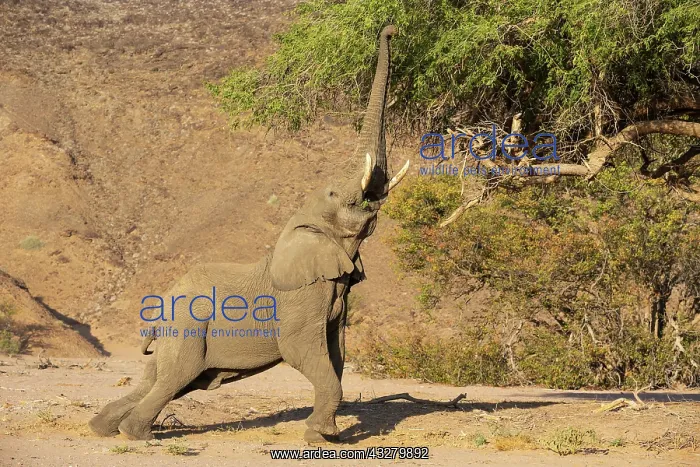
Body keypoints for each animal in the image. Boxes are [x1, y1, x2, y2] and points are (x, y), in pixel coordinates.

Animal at [88, 24, 408, 444]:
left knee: (159, 379)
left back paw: (102, 427)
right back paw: (134, 434)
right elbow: (303, 351)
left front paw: (325, 433)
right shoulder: (299, 297)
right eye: (335, 196)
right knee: (173, 378)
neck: (301, 224)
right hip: (188, 329)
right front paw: (321, 437)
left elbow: (336, 354)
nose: (390, 29)